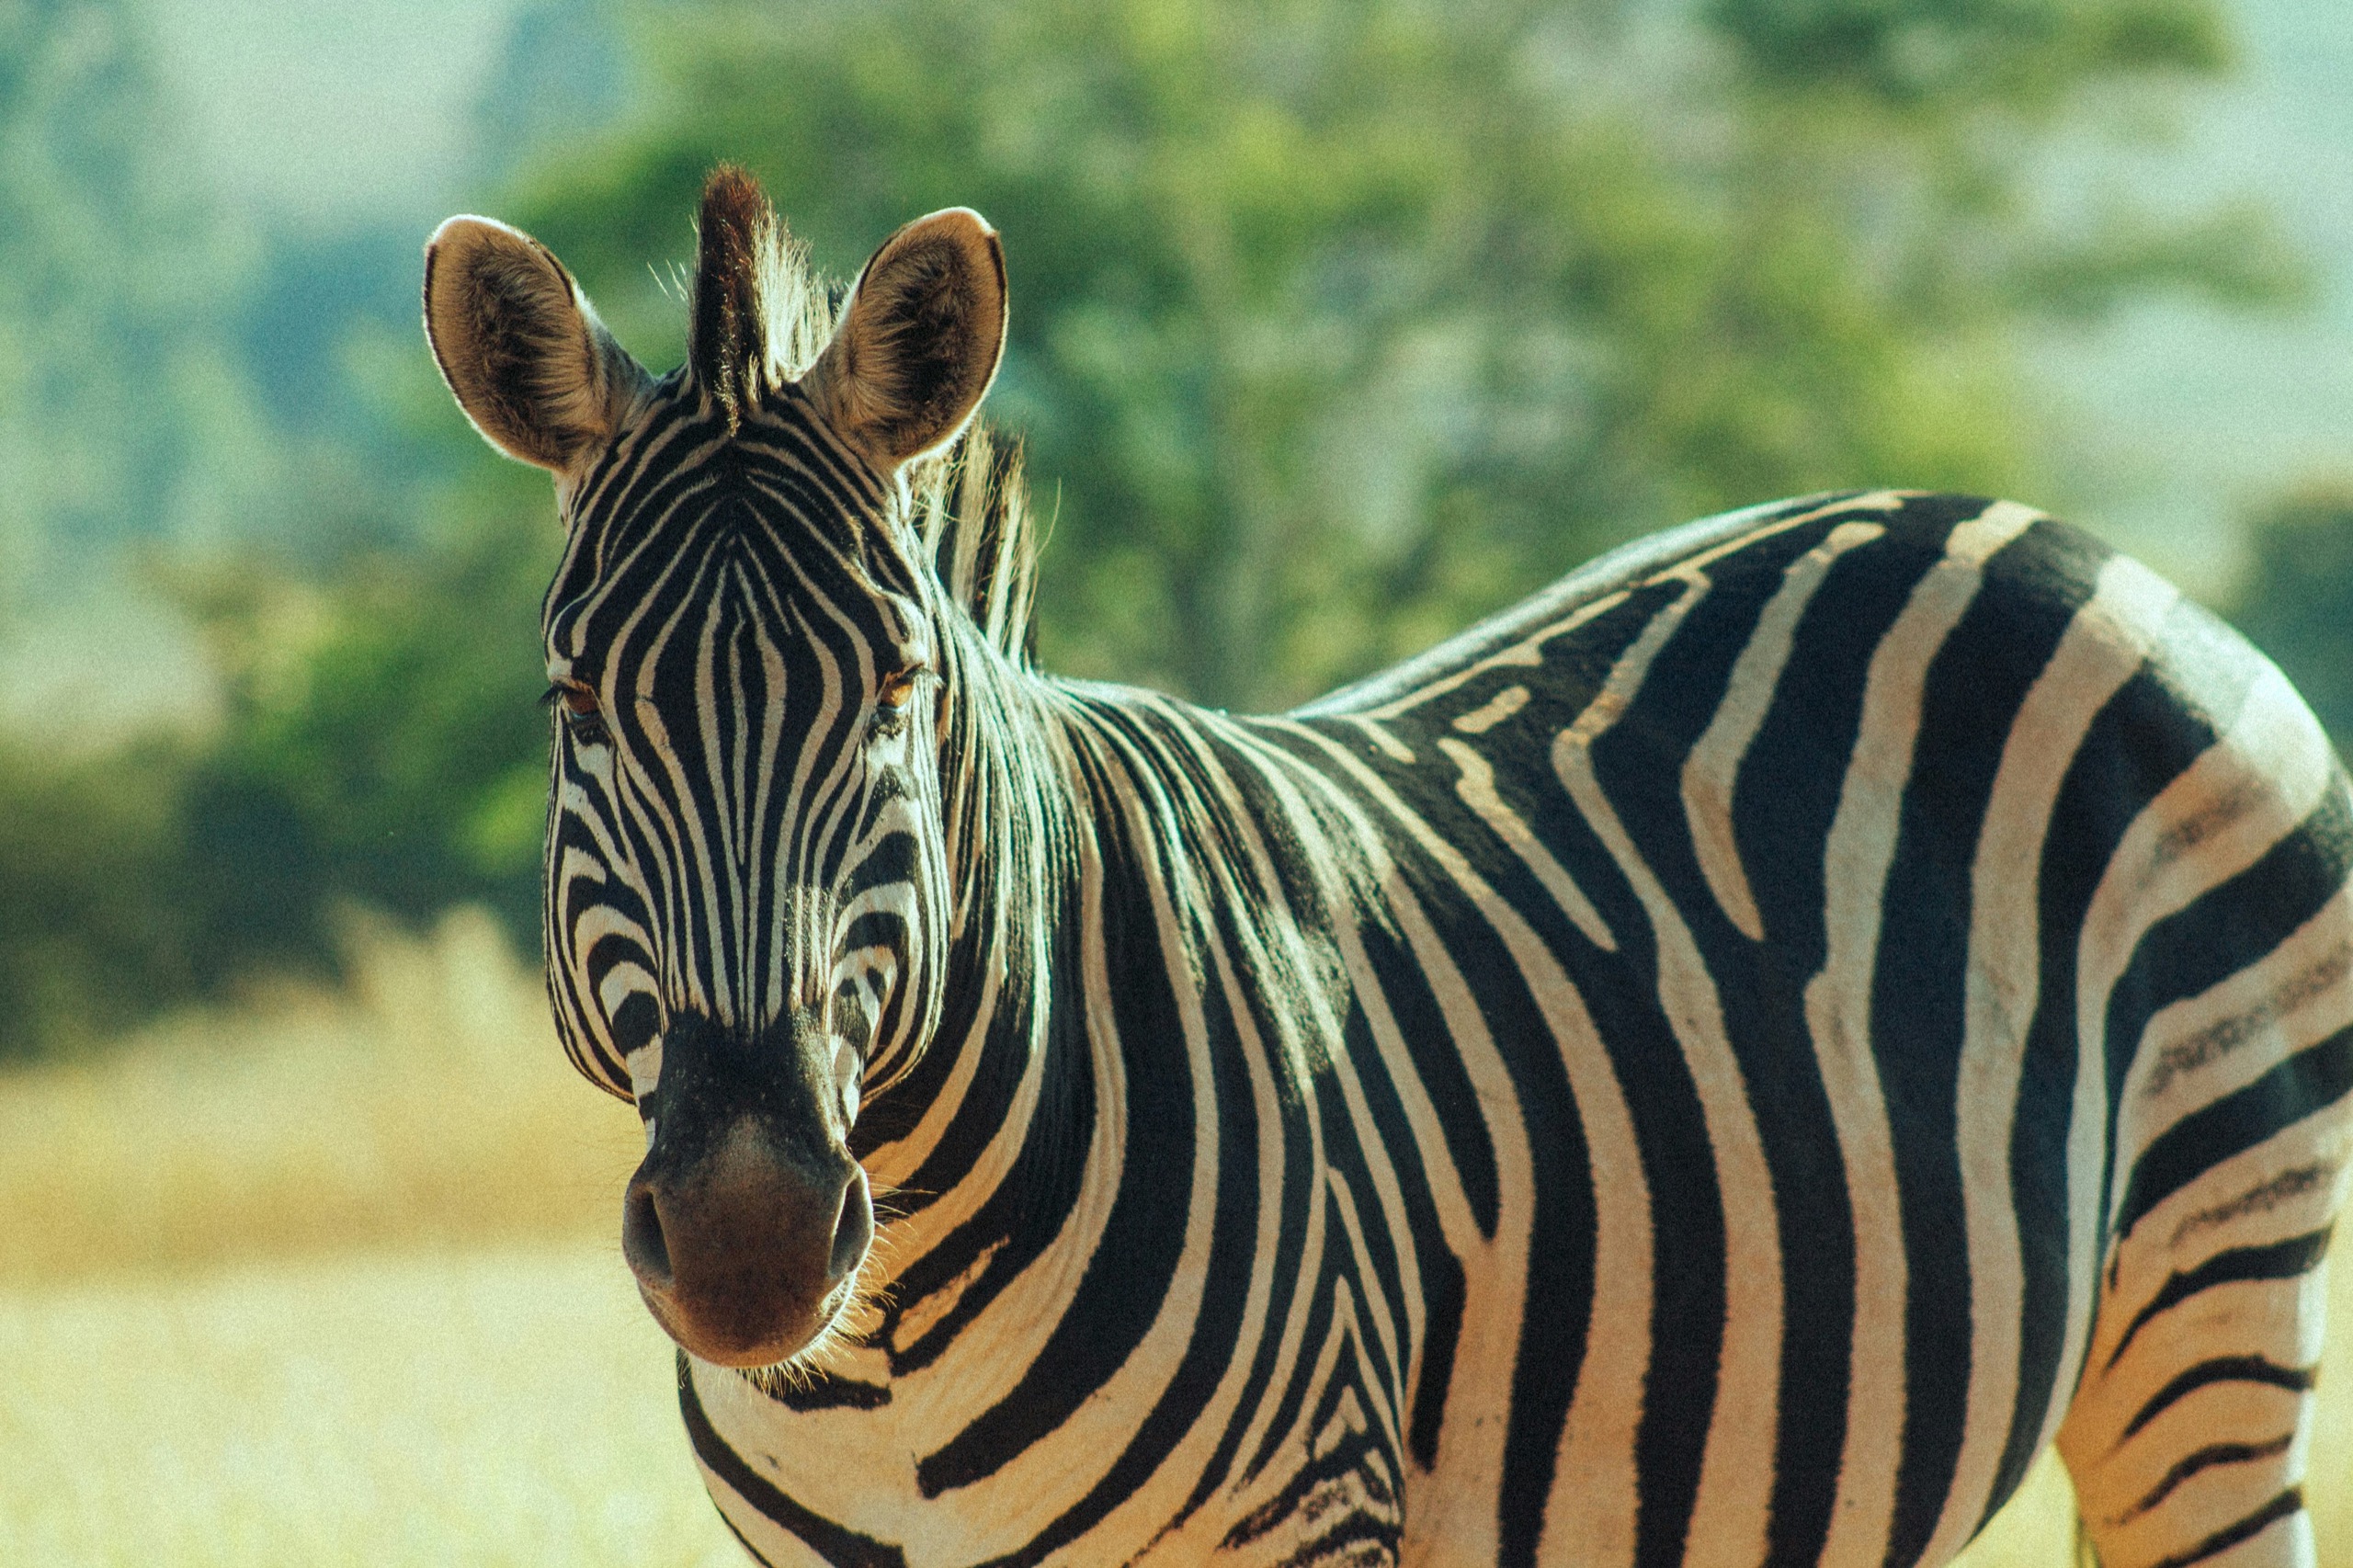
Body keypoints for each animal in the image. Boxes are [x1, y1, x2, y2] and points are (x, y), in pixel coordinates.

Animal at [423, 166, 2352, 1567]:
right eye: (575, 699)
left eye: (896, 690)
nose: (749, 1246)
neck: (893, 1349)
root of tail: (2049, 536)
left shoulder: (1315, 1516)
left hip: (2213, 1300)